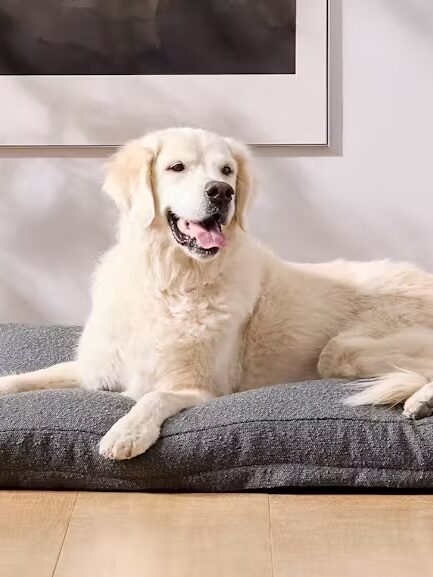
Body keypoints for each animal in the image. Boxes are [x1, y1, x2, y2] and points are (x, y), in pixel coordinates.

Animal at [2, 127, 432, 460]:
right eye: (176, 167)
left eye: (227, 170)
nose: (222, 192)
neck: (171, 281)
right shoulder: (96, 370)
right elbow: (25, 377)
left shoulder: (199, 388)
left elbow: (152, 398)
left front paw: (126, 432)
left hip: (342, 351)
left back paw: (420, 401)